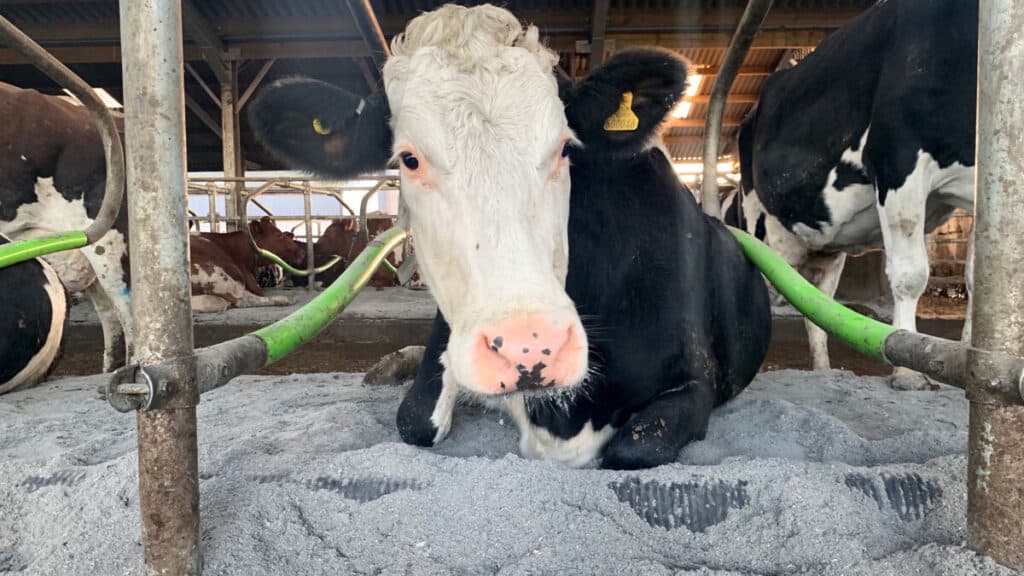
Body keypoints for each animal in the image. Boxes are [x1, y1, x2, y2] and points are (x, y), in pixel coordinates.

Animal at [249, 4, 771, 469]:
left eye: (564, 147)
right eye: (409, 159)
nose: (530, 347)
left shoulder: (696, 381)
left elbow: (634, 448)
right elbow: (415, 419)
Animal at [734, 0, 977, 390]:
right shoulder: (896, 159)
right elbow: (910, 274)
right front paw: (908, 373)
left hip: (823, 247)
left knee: (816, 300)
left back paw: (822, 370)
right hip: (760, 224)